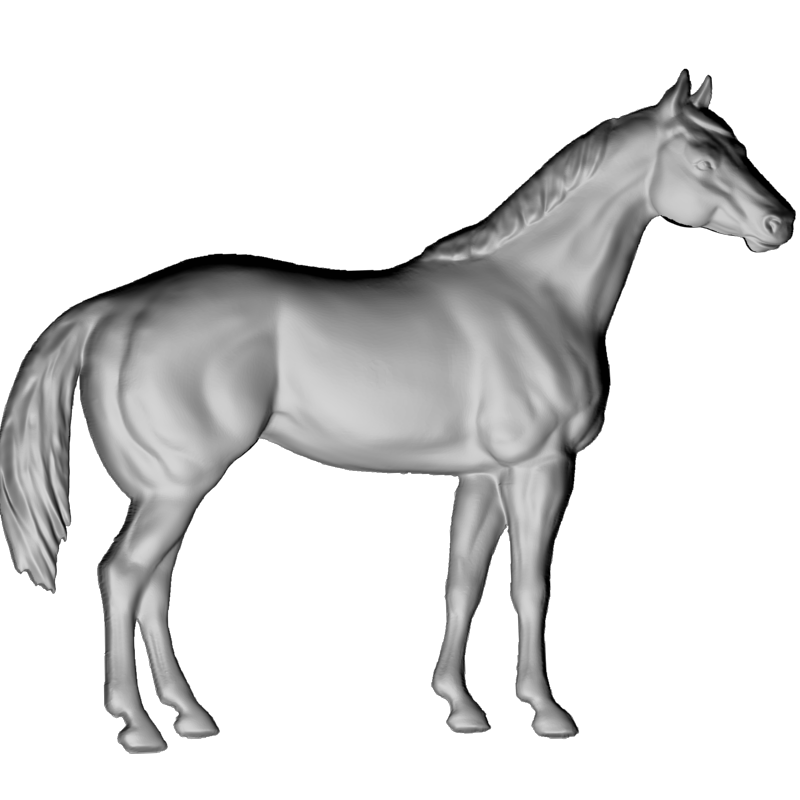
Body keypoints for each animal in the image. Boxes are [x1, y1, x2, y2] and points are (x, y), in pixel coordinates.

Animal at [0, 73, 791, 752]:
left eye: (739, 150)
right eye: (703, 158)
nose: (778, 223)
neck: (536, 296)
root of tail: (115, 310)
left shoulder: (483, 475)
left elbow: (463, 582)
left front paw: (462, 706)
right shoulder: (539, 468)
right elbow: (529, 587)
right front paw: (548, 712)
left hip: (170, 488)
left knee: (153, 587)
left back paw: (190, 716)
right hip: (178, 486)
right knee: (123, 576)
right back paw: (139, 726)